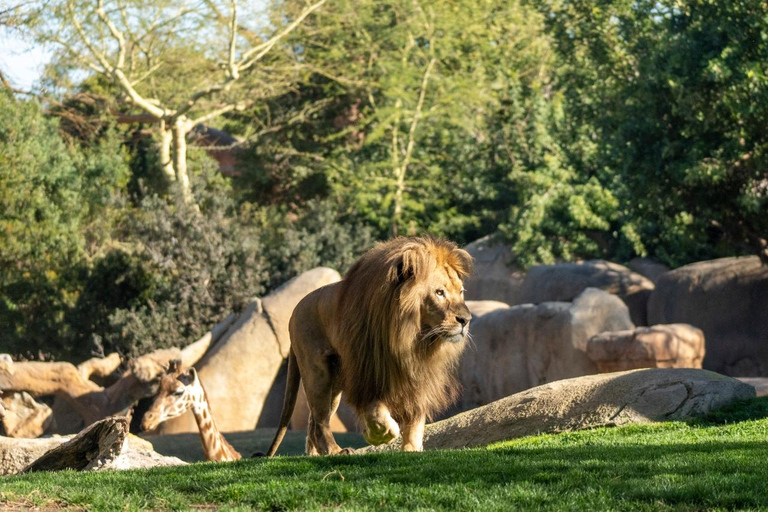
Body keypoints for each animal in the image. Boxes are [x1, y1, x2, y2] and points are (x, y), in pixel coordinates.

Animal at [266, 237, 474, 456]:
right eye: (439, 292)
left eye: (461, 292)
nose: (466, 320)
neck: (411, 339)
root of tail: (294, 312)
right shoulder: (367, 372)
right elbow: (376, 412)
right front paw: (378, 434)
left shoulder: (417, 376)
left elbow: (415, 415)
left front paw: (411, 448)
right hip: (317, 373)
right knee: (320, 420)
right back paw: (335, 450)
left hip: (334, 384)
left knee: (313, 421)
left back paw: (316, 453)